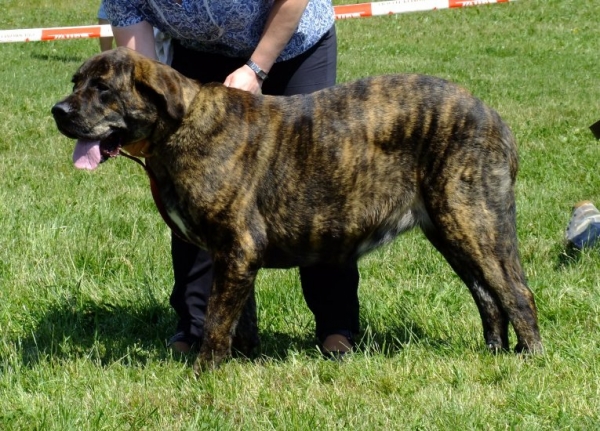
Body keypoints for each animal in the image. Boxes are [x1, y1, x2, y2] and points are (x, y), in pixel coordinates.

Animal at [52, 47, 544, 374]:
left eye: (102, 88)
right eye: (75, 82)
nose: (58, 110)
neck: (180, 127)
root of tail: (492, 116)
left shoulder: (238, 248)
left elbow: (215, 320)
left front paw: (204, 372)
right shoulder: (232, 257)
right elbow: (238, 316)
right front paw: (241, 359)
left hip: (475, 221)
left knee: (516, 292)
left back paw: (531, 359)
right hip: (449, 228)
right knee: (488, 296)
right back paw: (496, 353)